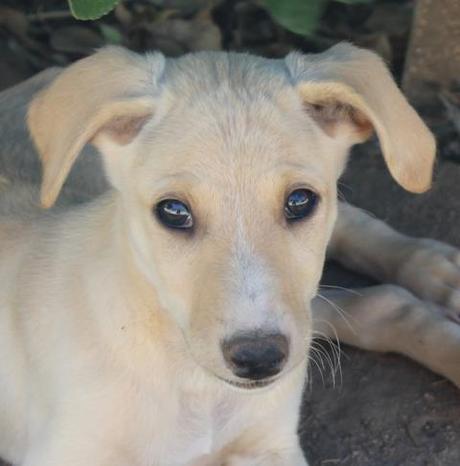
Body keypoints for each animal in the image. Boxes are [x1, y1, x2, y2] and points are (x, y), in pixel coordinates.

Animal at [0, 41, 456, 464]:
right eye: (173, 211)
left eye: (300, 201)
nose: (259, 358)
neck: (195, 384)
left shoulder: (271, 443)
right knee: (378, 302)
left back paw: (439, 274)